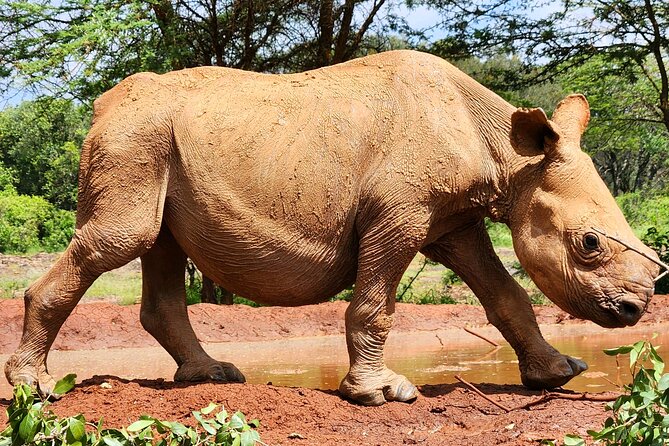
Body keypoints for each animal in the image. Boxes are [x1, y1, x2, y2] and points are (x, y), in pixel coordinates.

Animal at [6, 50, 660, 406]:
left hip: (155, 138)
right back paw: (35, 389)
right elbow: (375, 305)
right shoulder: (400, 215)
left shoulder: (454, 222)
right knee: (124, 237)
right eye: (589, 244)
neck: (507, 154)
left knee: (157, 246)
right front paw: (382, 393)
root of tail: (102, 105)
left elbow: (506, 296)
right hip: (135, 137)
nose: (634, 310)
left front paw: (559, 373)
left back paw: (212, 376)